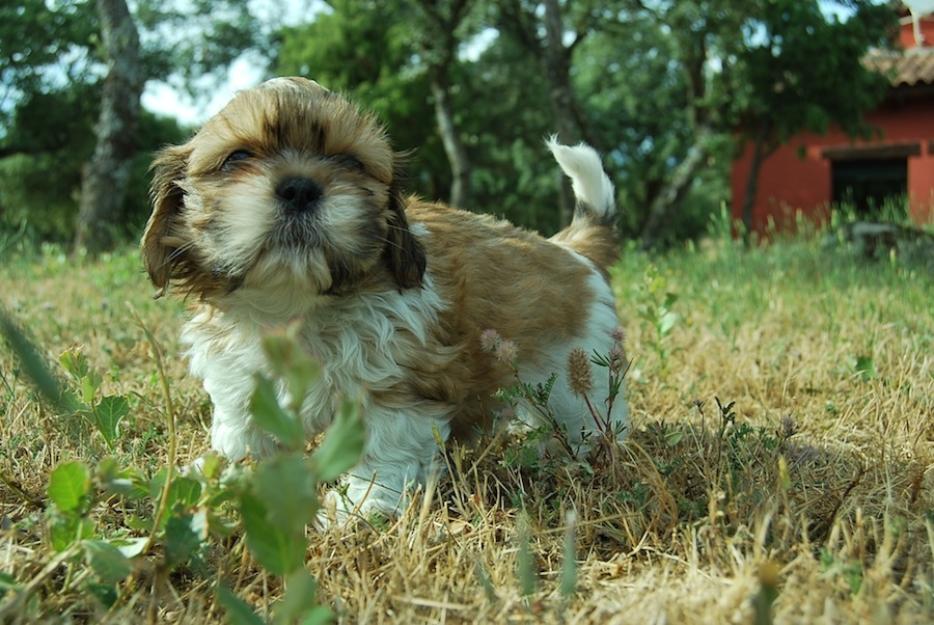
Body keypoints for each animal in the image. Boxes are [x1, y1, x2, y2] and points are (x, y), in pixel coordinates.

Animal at [143, 77, 628, 516]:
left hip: (576, 369)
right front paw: (218, 476)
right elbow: (244, 429)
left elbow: (385, 449)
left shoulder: (399, 385)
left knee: (589, 414)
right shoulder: (244, 376)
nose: (300, 187)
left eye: (349, 162)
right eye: (238, 157)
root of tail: (569, 248)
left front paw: (360, 507)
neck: (295, 303)